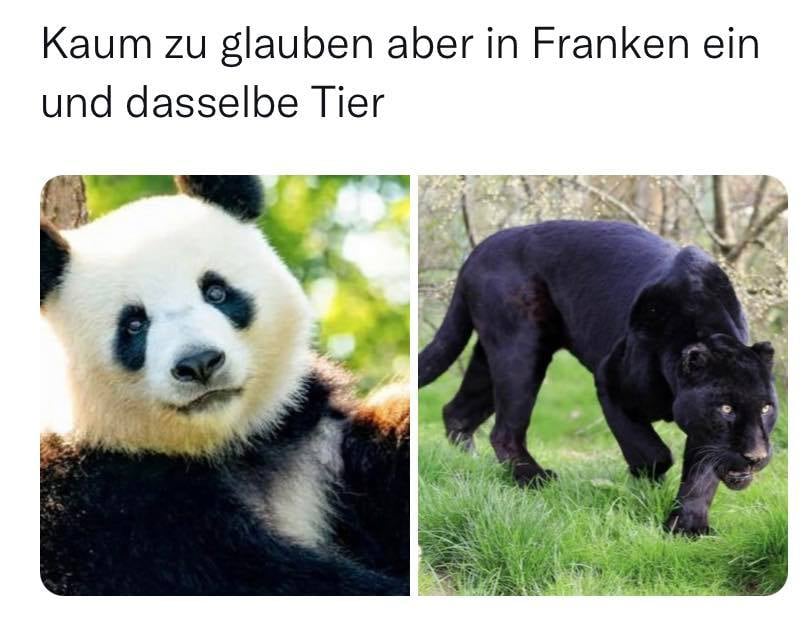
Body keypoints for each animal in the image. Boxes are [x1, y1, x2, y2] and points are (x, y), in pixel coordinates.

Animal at [39, 176, 410, 596]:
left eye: (216, 291)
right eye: (133, 324)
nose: (199, 362)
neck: (228, 445)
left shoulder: (315, 437)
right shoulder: (100, 506)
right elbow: (250, 575)